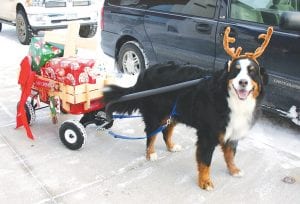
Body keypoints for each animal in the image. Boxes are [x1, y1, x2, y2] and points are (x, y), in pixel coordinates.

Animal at [102, 26, 272, 190]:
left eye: (252, 72)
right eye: (235, 71)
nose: (243, 82)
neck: (229, 98)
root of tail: (145, 72)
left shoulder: (233, 131)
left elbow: (230, 154)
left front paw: (234, 170)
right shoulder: (207, 135)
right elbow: (205, 161)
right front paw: (205, 182)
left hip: (173, 113)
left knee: (166, 131)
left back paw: (171, 147)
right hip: (155, 115)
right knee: (151, 134)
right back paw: (151, 154)